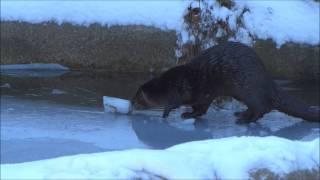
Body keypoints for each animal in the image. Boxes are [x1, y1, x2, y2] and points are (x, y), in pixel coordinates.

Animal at [131, 41, 318, 123]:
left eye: (137, 98)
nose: (131, 105)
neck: (168, 85)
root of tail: (269, 84)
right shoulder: (203, 95)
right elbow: (200, 109)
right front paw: (187, 114)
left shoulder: (183, 90)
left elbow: (183, 105)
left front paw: (170, 113)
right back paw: (241, 114)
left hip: (250, 90)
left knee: (261, 109)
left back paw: (244, 120)